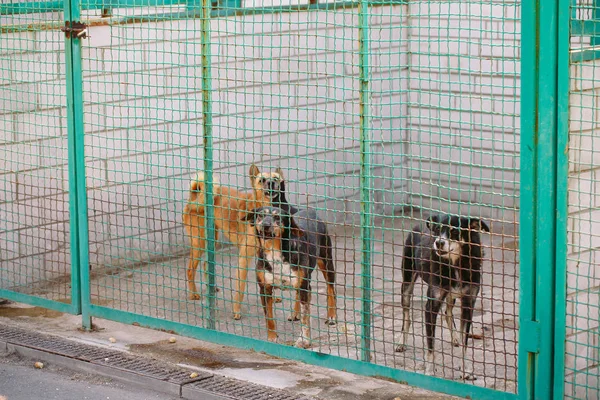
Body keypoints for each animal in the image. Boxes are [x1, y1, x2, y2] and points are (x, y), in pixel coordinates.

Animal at [183, 164, 284, 320]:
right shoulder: (243, 258)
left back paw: (211, 287)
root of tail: (193, 197)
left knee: (206, 264)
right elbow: (240, 288)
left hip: (212, 239)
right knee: (190, 270)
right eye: (262, 180)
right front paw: (236, 310)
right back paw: (193, 293)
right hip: (200, 243)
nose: (272, 183)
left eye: (276, 178)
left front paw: (273, 297)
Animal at [244, 206, 338, 346]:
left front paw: (304, 340)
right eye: (260, 215)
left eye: (277, 217)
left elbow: (305, 317)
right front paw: (272, 338)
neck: (275, 253)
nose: (265, 225)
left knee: (331, 289)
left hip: (326, 262)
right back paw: (295, 314)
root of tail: (310, 211)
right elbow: (269, 317)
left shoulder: (304, 286)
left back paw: (332, 316)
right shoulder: (265, 289)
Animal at [396, 214, 490, 380]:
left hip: (451, 295)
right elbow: (431, 345)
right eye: (437, 230)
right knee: (406, 316)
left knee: (447, 312)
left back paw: (455, 338)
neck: (455, 265)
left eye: (455, 231)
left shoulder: (468, 304)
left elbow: (465, 342)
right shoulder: (431, 306)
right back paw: (401, 342)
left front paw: (466, 370)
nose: (438, 242)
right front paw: (429, 370)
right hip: (407, 284)